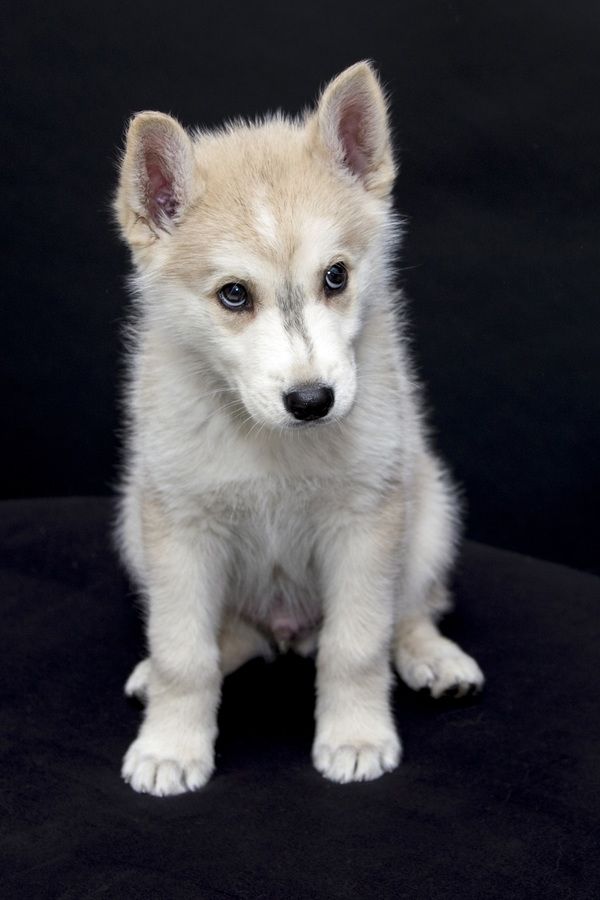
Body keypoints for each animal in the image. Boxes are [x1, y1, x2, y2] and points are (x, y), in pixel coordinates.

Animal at [115, 61, 486, 796]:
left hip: (429, 511)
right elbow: (183, 653)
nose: (312, 400)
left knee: (411, 609)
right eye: (234, 294)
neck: (272, 444)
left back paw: (433, 658)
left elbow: (357, 645)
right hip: (134, 525)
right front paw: (171, 745)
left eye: (335, 276)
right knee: (222, 639)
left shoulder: (366, 523)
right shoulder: (179, 528)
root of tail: (284, 632)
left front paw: (356, 736)